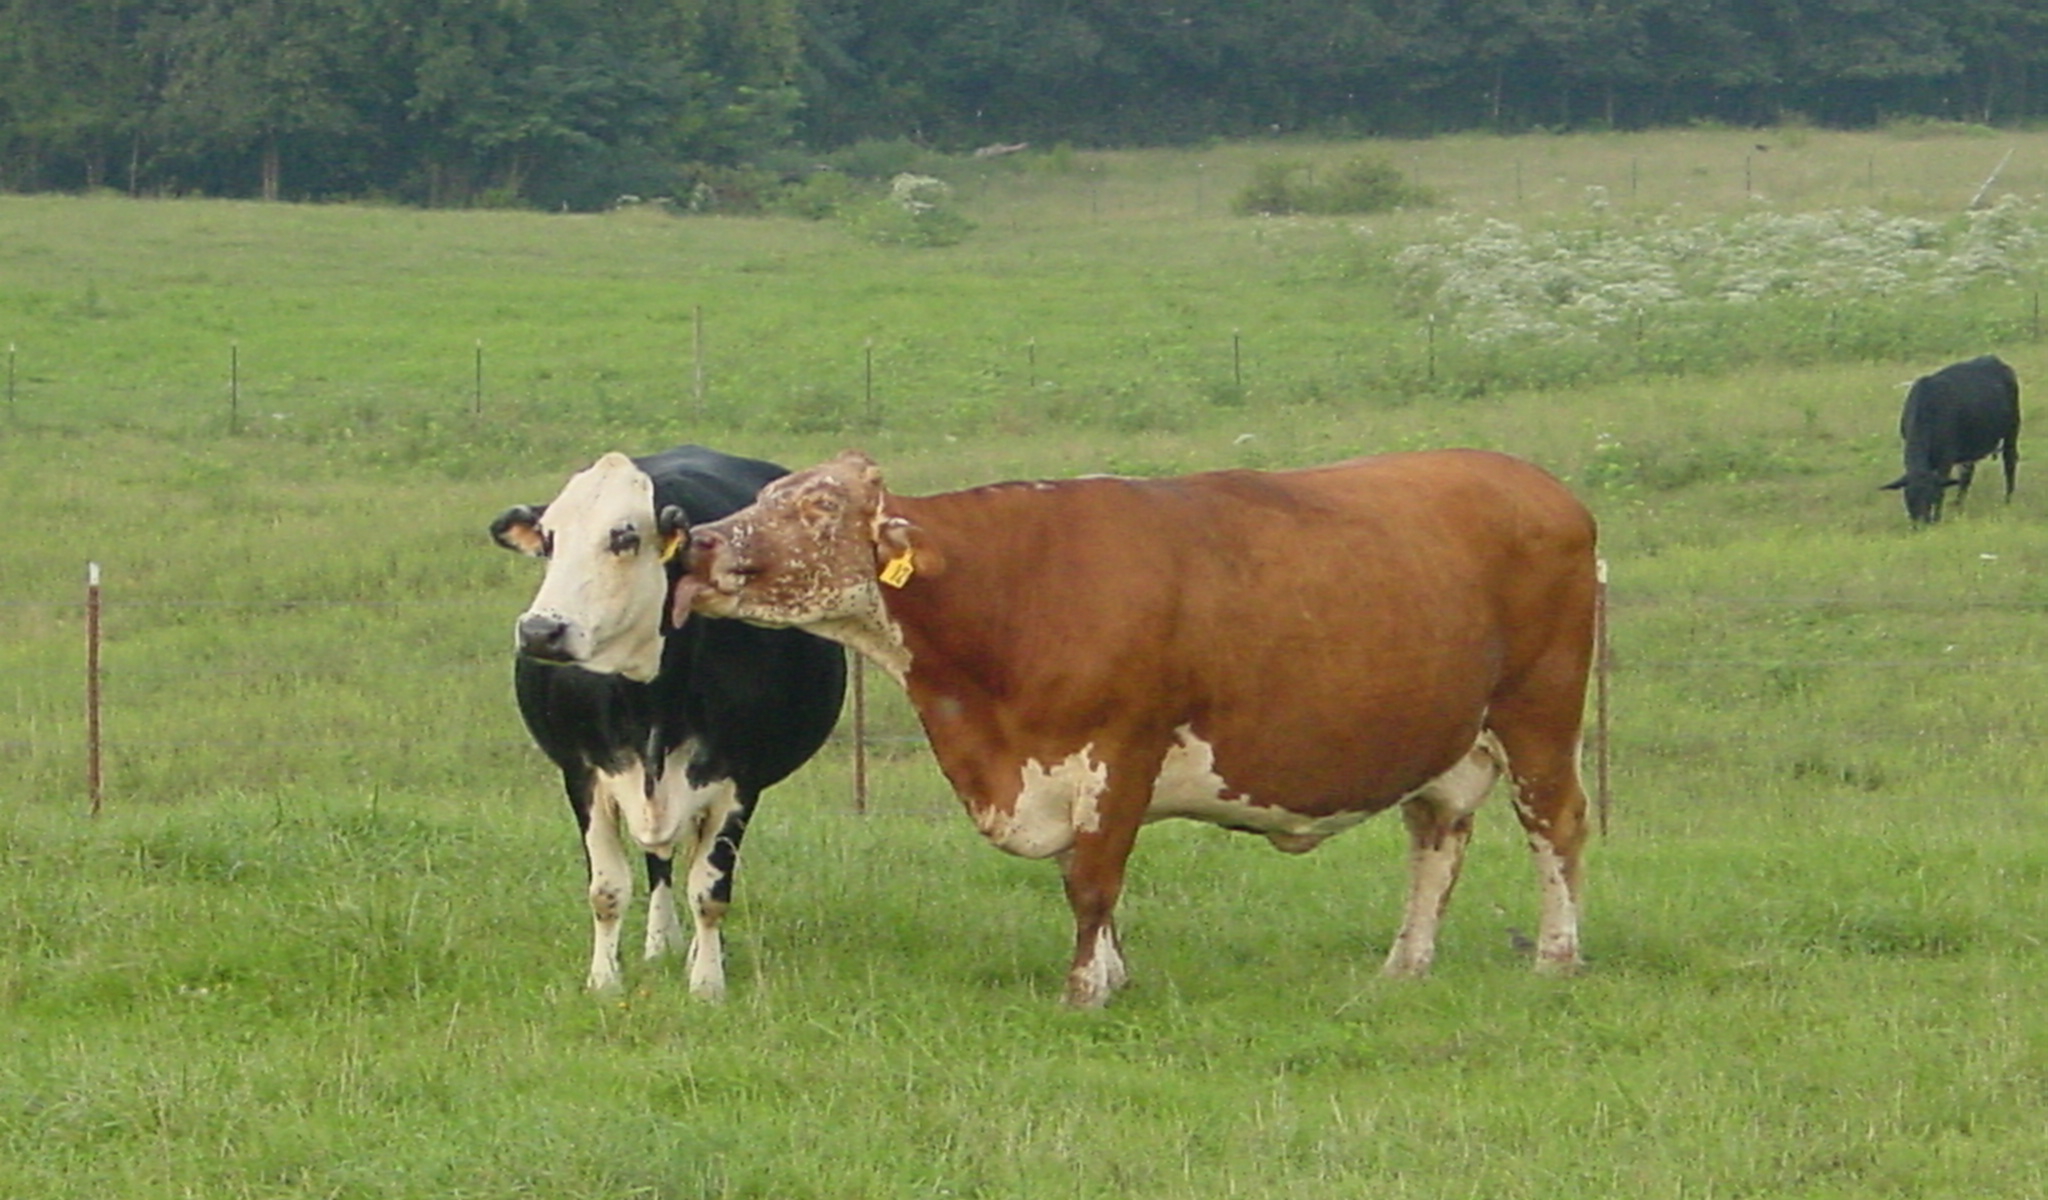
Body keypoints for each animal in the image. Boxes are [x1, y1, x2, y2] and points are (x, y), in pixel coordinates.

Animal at [491, 444, 843, 995]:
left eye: (625, 536)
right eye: (550, 539)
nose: (541, 631)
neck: (648, 700)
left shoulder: (739, 779)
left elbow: (710, 890)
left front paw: (707, 983)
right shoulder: (582, 772)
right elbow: (607, 889)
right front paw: (604, 981)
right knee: (658, 860)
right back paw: (661, 943)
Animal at [671, 446, 1597, 999]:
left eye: (818, 511)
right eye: (766, 494)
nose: (700, 544)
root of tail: (1538, 483)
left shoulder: (1121, 750)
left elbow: (1092, 880)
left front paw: (1085, 988)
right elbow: (1087, 878)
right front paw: (1113, 973)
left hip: (1540, 717)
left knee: (1555, 825)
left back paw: (1556, 957)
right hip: (1445, 739)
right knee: (1436, 840)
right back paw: (1405, 966)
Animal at [1875, 354, 2023, 524]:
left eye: (1930, 497)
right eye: (1908, 499)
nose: (1921, 524)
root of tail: (1994, 359)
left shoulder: (1946, 458)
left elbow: (1942, 489)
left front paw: (1937, 519)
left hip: (2012, 429)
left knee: (2009, 462)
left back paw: (2008, 500)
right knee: (1967, 474)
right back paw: (1959, 505)